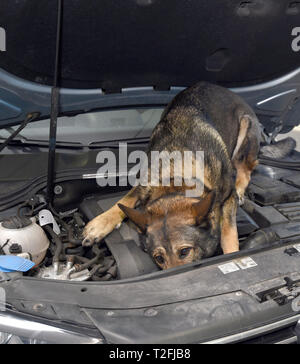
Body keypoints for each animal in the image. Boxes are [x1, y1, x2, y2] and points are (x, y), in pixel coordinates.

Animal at [82, 83, 260, 270]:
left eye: (184, 252)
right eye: (159, 258)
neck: (177, 177)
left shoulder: (227, 196)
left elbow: (229, 232)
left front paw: (233, 256)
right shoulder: (144, 185)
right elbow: (124, 201)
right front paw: (98, 225)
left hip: (247, 129)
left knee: (246, 167)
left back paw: (241, 187)